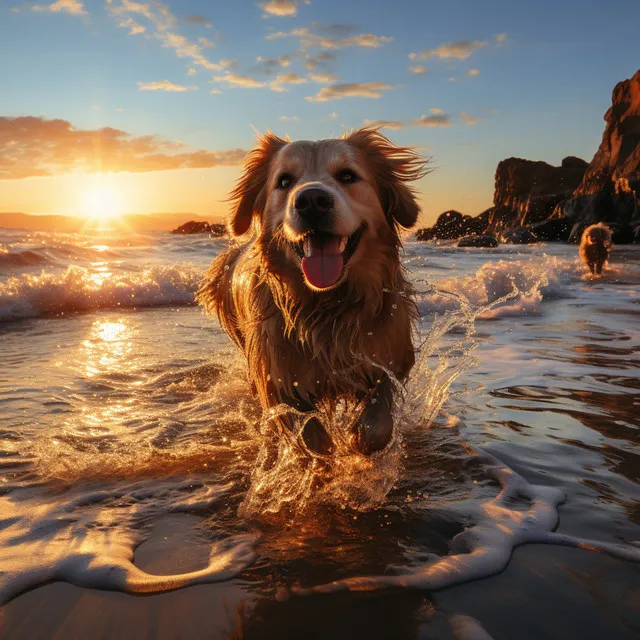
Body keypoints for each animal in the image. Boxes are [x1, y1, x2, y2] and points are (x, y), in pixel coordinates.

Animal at [198, 127, 428, 456]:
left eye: (347, 175)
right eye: (284, 181)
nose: (312, 200)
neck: (328, 303)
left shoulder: (388, 355)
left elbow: (377, 424)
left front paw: (357, 443)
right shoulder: (278, 377)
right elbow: (310, 436)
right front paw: (326, 453)